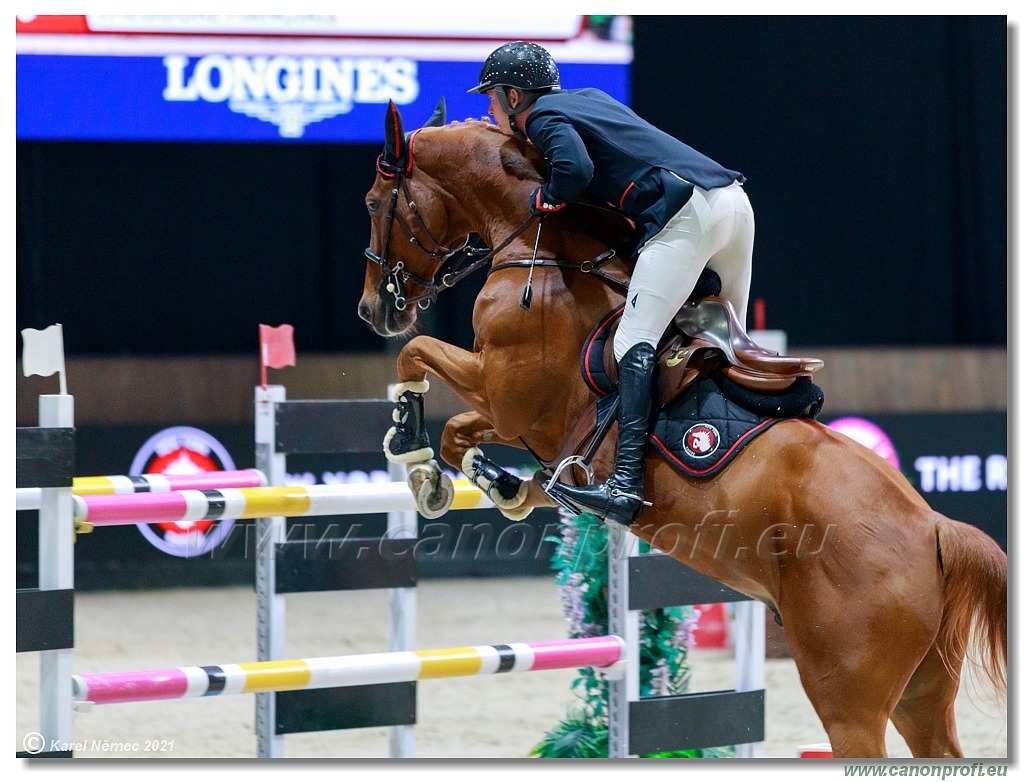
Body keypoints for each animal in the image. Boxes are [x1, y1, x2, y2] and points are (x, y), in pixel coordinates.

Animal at [360, 97, 1007, 757]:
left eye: (373, 203)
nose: (373, 309)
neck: (544, 253)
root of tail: (937, 530)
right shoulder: (514, 417)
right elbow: (460, 432)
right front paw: (490, 486)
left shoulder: (509, 397)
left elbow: (417, 359)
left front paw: (414, 451)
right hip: (922, 696)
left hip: (848, 700)